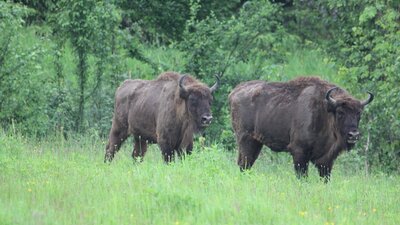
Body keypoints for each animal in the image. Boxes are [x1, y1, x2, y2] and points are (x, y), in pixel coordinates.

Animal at [230, 76, 374, 180]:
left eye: (358, 113)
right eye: (340, 112)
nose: (353, 135)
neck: (325, 110)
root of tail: (234, 92)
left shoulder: (327, 160)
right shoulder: (299, 153)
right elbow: (302, 176)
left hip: (256, 143)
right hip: (246, 140)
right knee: (244, 164)